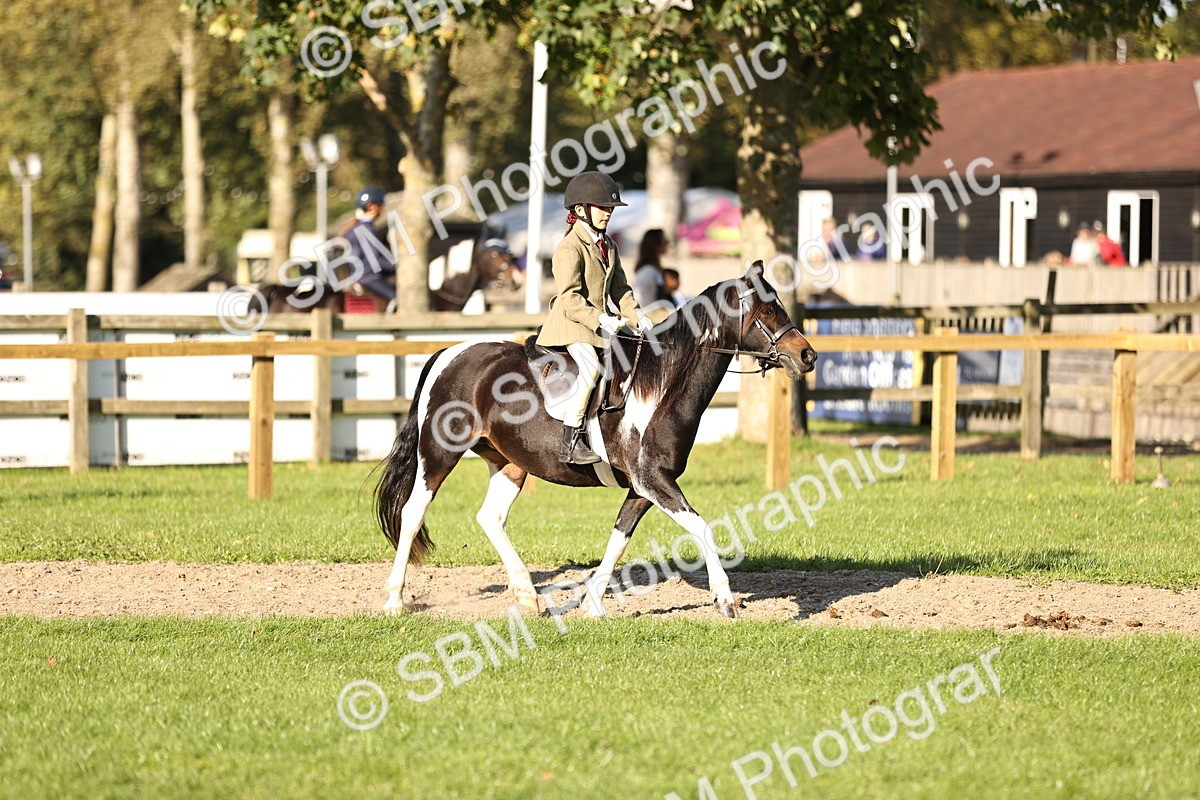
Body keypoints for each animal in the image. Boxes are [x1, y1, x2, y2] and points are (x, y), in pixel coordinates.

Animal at [374, 260, 818, 619]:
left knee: (491, 517)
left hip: (509, 461)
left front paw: (592, 605)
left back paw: (528, 596)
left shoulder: (643, 487)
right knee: (413, 513)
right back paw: (395, 601)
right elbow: (702, 527)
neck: (659, 387)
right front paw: (725, 599)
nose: (808, 356)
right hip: (438, 454)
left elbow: (619, 539)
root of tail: (447, 352)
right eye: (766, 310)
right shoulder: (655, 481)